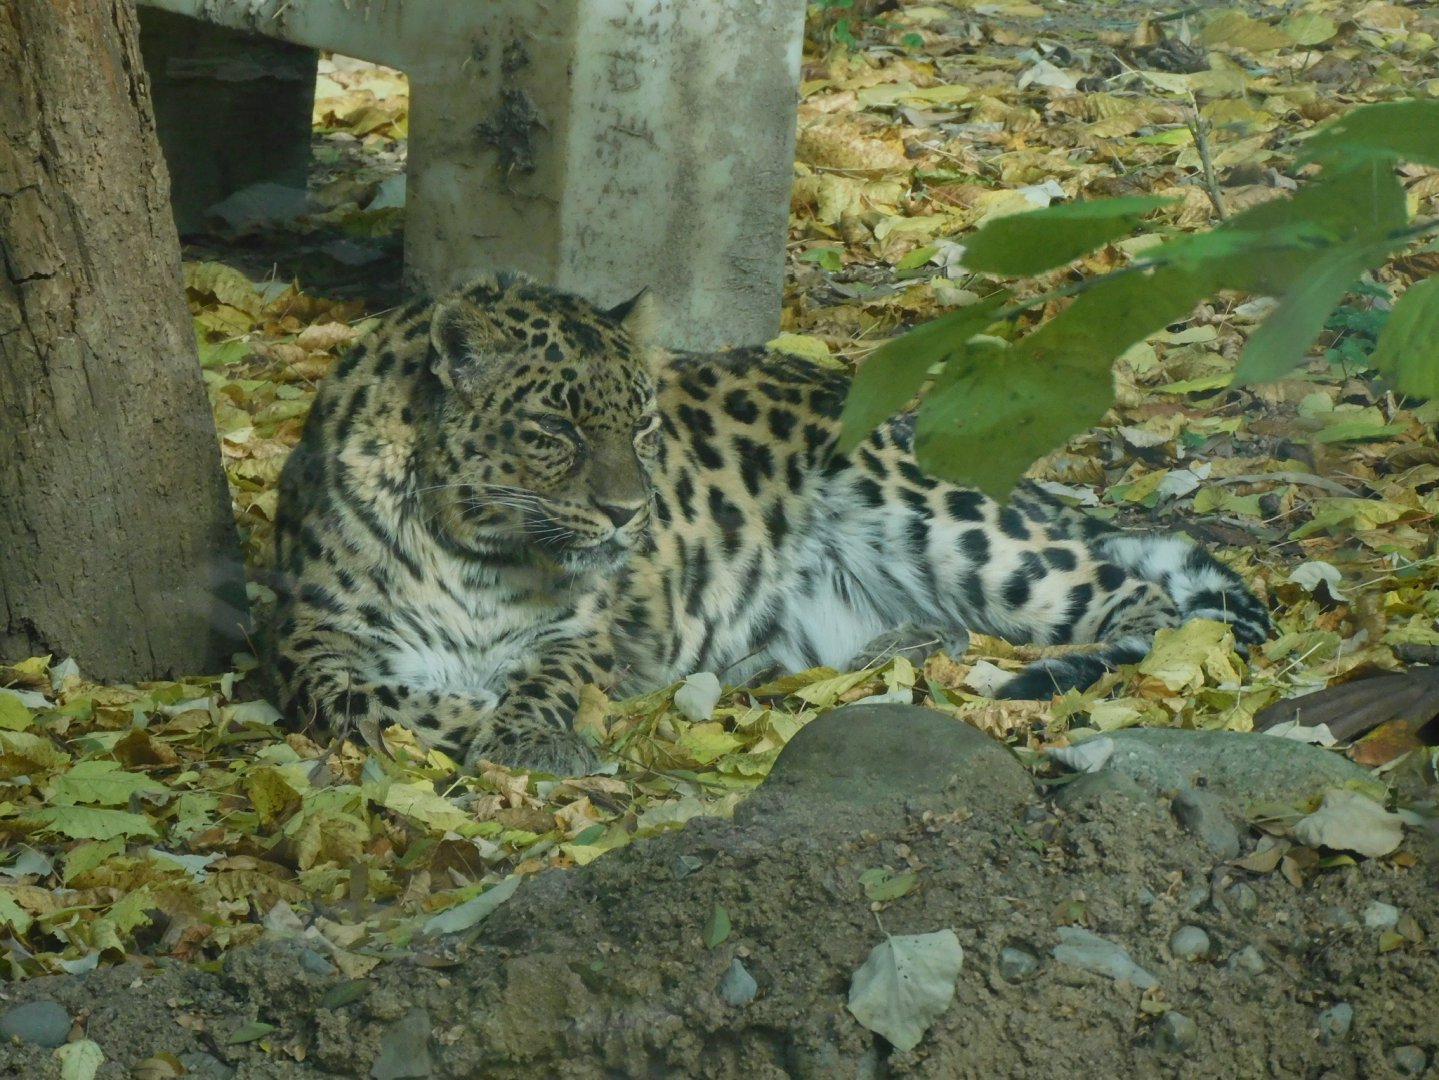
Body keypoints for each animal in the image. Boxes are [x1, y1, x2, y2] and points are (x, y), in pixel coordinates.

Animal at [272, 272, 1270, 774]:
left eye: (643, 425)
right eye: (553, 430)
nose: (630, 513)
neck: (472, 551)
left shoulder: (590, 633)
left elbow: (548, 679)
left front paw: (530, 730)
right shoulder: (307, 642)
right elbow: (373, 699)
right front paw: (476, 716)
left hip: (943, 518)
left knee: (1147, 611)